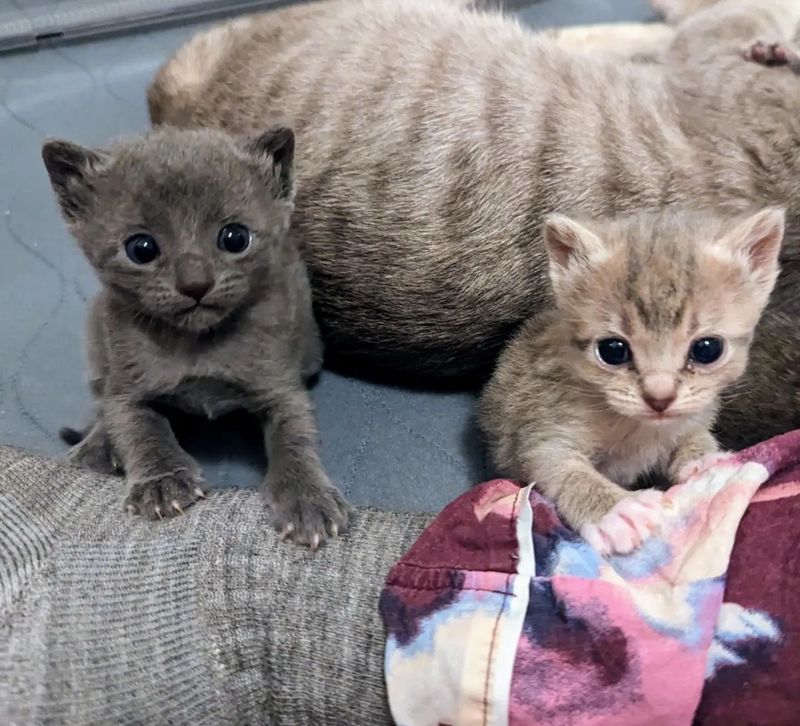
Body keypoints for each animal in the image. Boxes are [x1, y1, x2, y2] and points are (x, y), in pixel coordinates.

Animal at [40, 125, 346, 548]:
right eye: (141, 248)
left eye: (235, 237)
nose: (195, 283)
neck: (198, 345)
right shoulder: (127, 384)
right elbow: (137, 426)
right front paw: (161, 481)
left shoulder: (280, 387)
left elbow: (294, 436)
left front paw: (307, 498)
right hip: (97, 334)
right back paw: (95, 448)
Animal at [478, 208, 784, 556]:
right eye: (613, 350)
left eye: (707, 349)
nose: (659, 397)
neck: (641, 429)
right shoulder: (544, 430)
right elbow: (560, 467)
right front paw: (616, 510)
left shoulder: (694, 414)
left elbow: (694, 435)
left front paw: (705, 462)